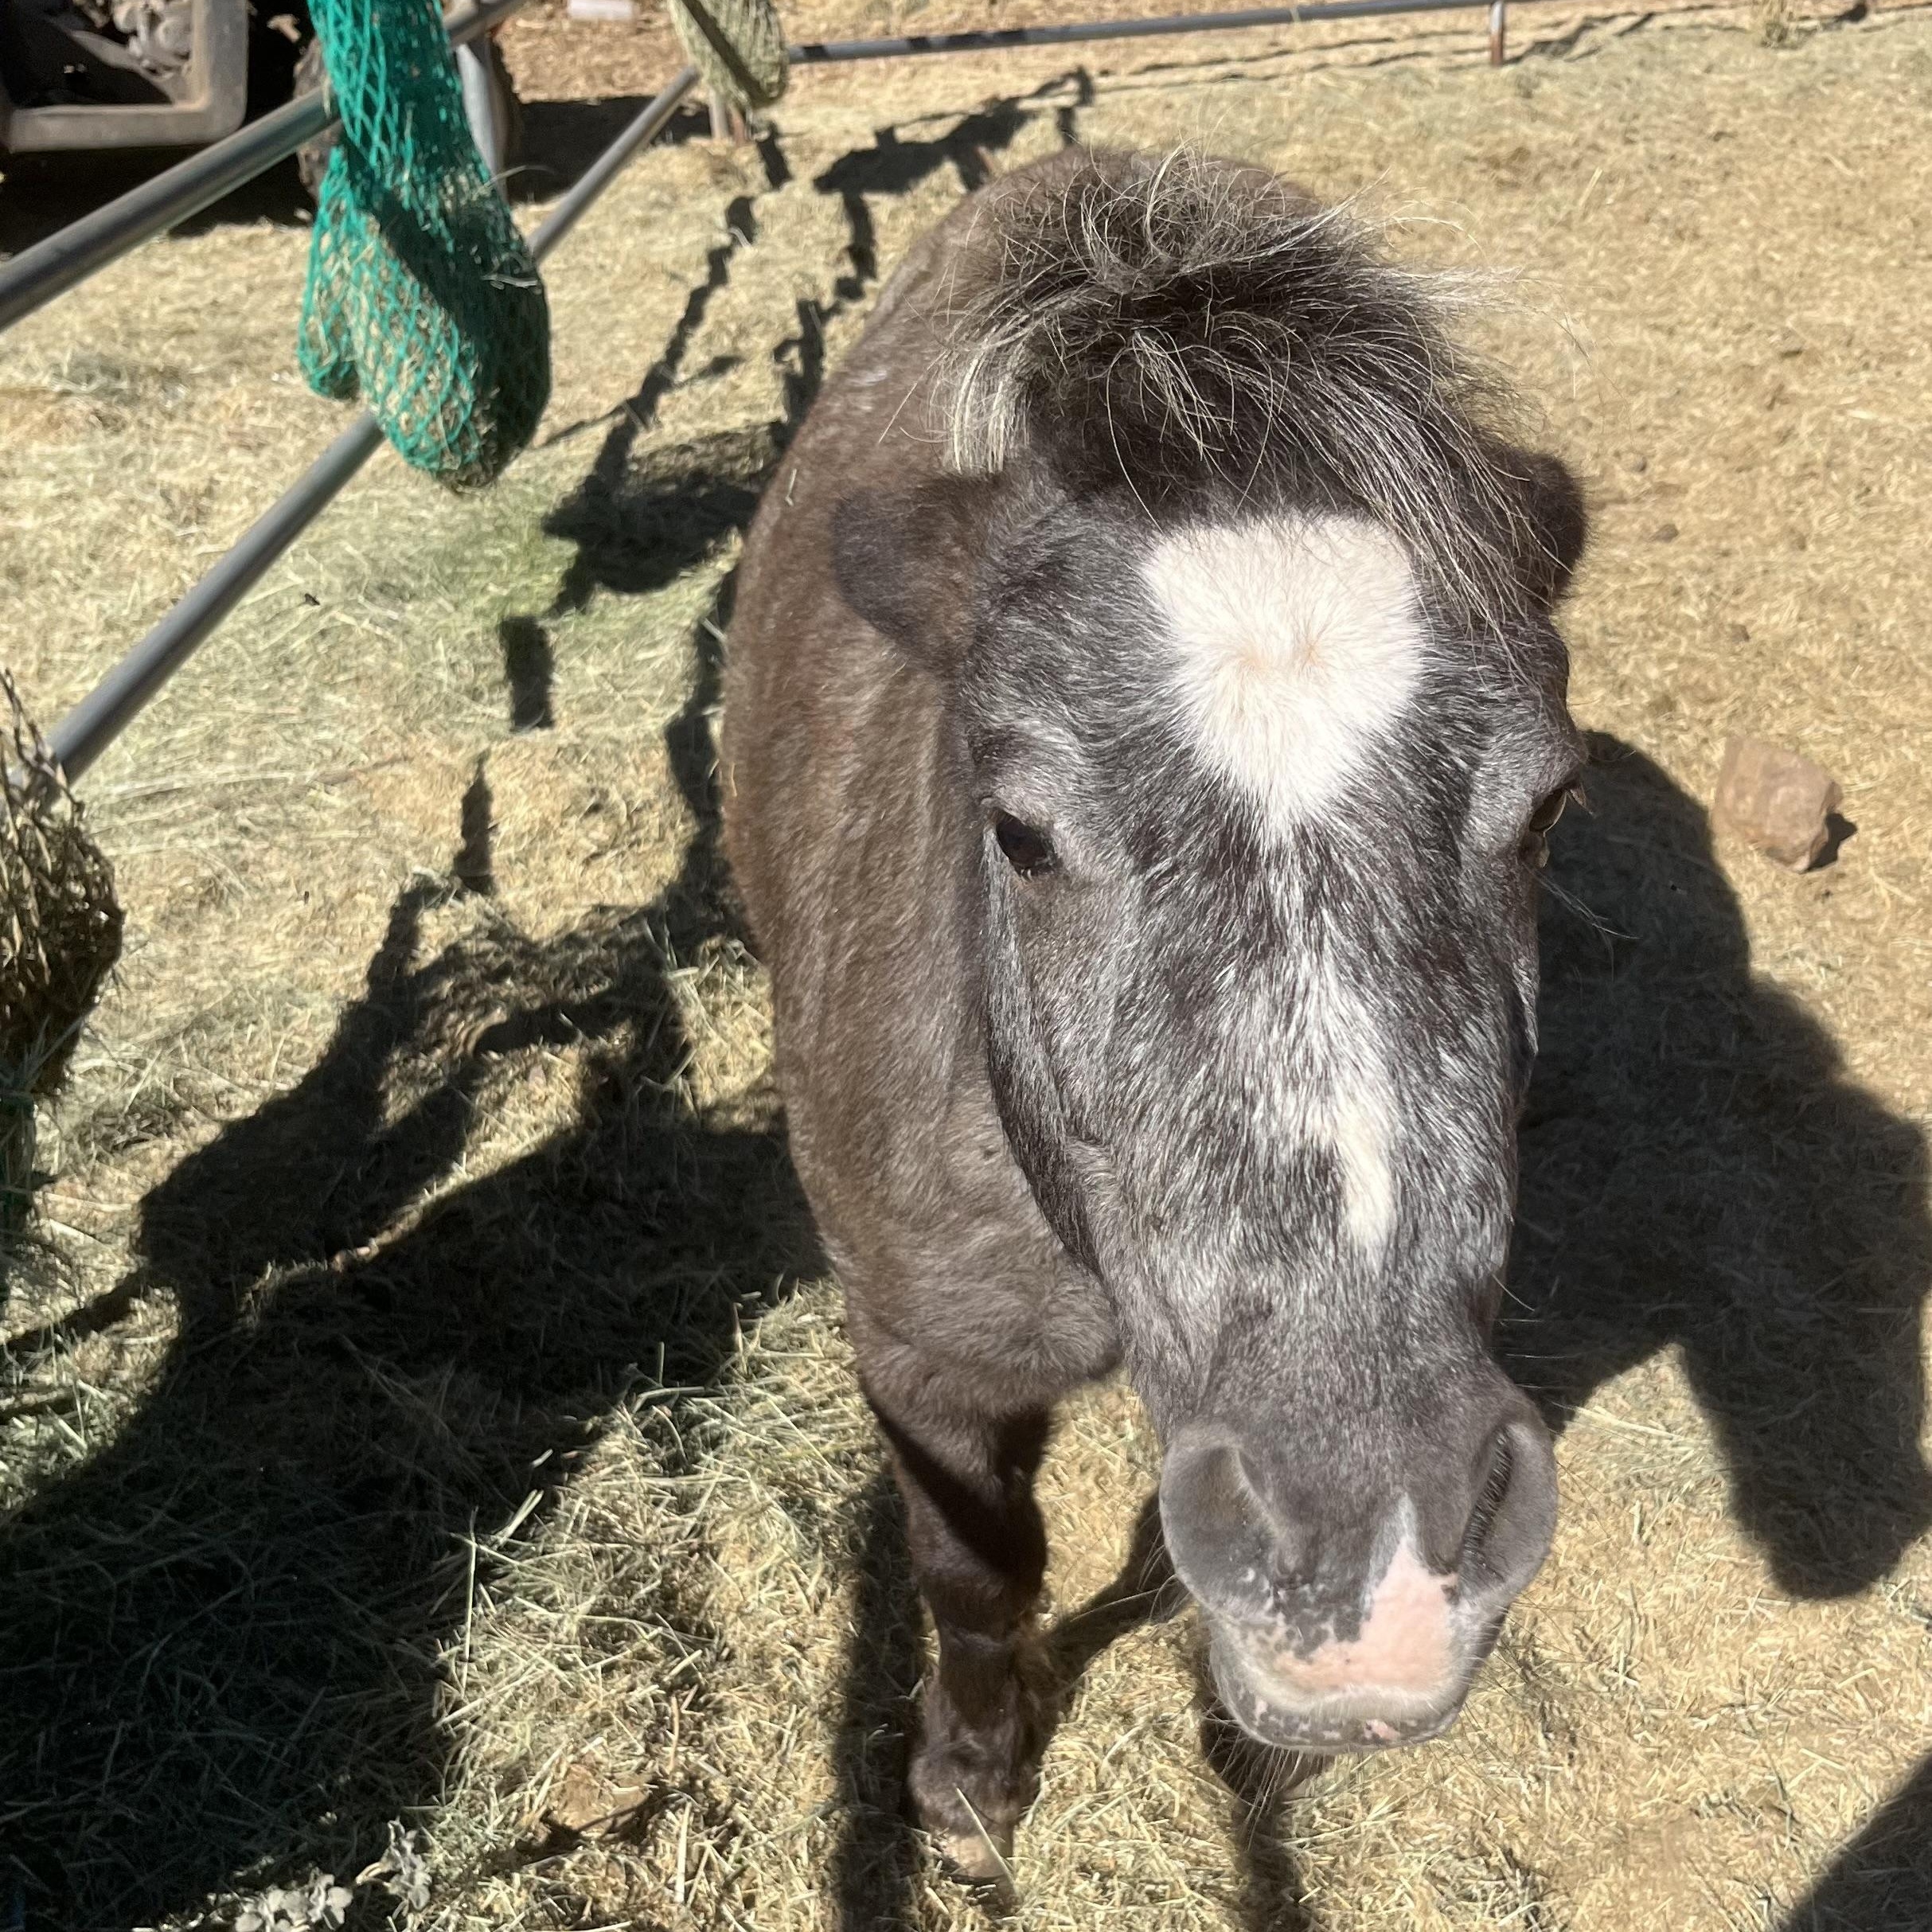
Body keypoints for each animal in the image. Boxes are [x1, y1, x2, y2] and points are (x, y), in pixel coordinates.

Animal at [721, 145, 1589, 1875]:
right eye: (1019, 830)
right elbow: (976, 1573)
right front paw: (968, 1786)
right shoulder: (923, 1371)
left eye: (1546, 805)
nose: (1371, 1552)